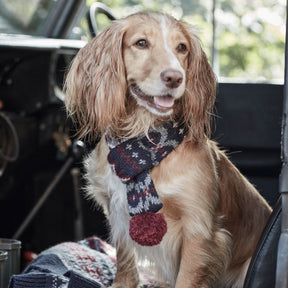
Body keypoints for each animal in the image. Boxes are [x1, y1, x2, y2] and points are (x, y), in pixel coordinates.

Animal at [63, 11, 272, 288]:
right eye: (141, 43)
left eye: (181, 48)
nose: (174, 77)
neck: (142, 141)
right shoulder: (118, 213)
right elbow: (126, 264)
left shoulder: (199, 230)